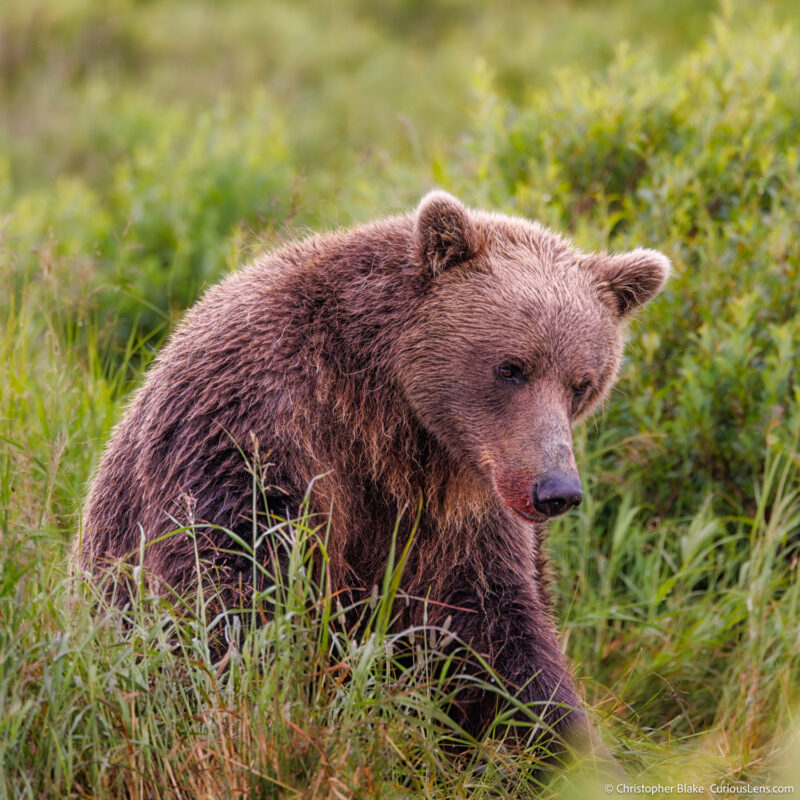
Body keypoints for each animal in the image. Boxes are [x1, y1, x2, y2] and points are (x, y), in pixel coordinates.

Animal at [79, 192, 668, 756]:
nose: (555, 490)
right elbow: (237, 586)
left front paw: (567, 749)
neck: (386, 419)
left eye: (582, 383)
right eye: (510, 367)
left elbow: (490, 631)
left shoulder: (459, 511)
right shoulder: (258, 428)